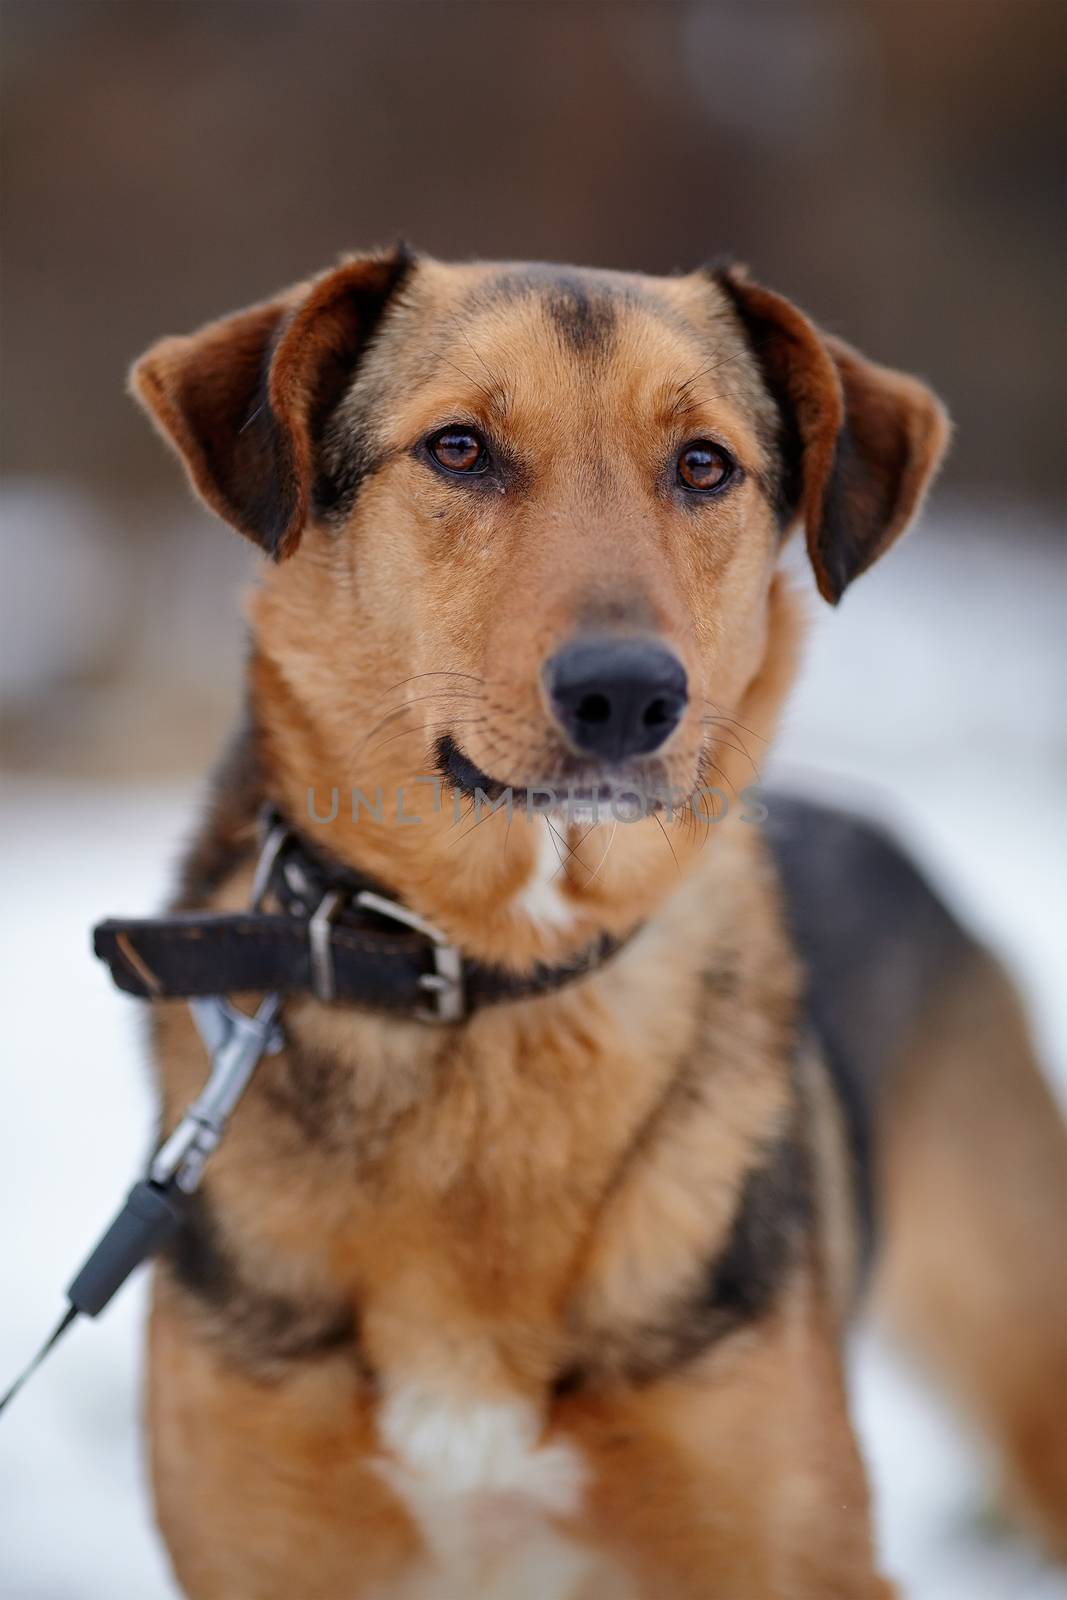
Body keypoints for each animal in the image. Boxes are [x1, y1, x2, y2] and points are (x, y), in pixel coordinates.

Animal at [127, 252, 1067, 1600]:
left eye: (704, 465)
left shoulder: (788, 1551)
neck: (490, 982)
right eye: (458, 449)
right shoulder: (266, 1553)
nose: (626, 694)